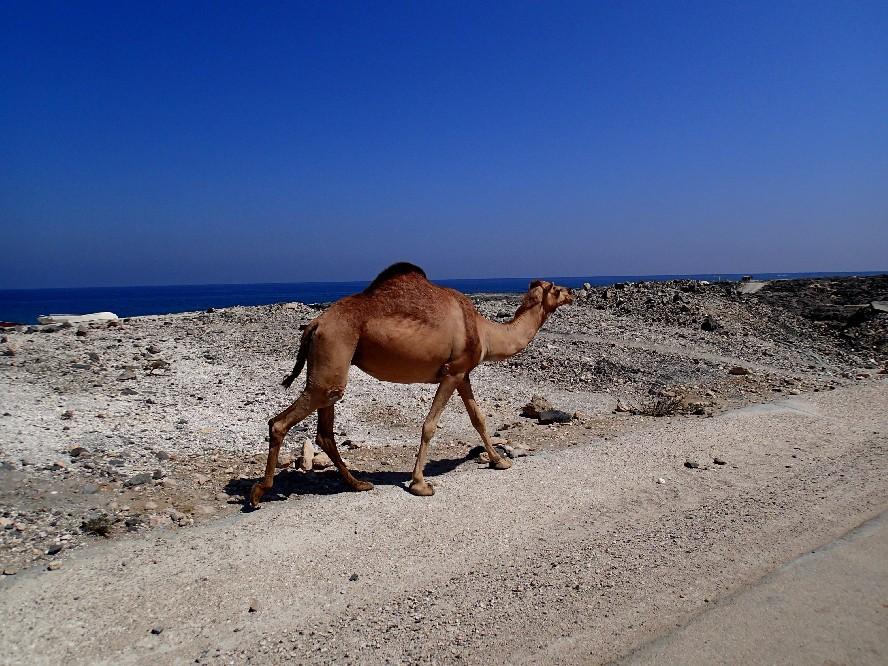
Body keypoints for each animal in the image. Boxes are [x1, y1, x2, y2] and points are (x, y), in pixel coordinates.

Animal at [250, 262, 573, 506]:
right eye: (557, 288)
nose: (572, 292)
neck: (484, 331)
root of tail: (315, 323)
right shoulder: (453, 372)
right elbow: (430, 424)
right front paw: (420, 484)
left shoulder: (463, 374)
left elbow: (478, 418)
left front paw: (499, 461)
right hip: (334, 346)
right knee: (281, 422)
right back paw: (258, 493)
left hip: (331, 364)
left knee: (325, 428)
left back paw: (358, 483)